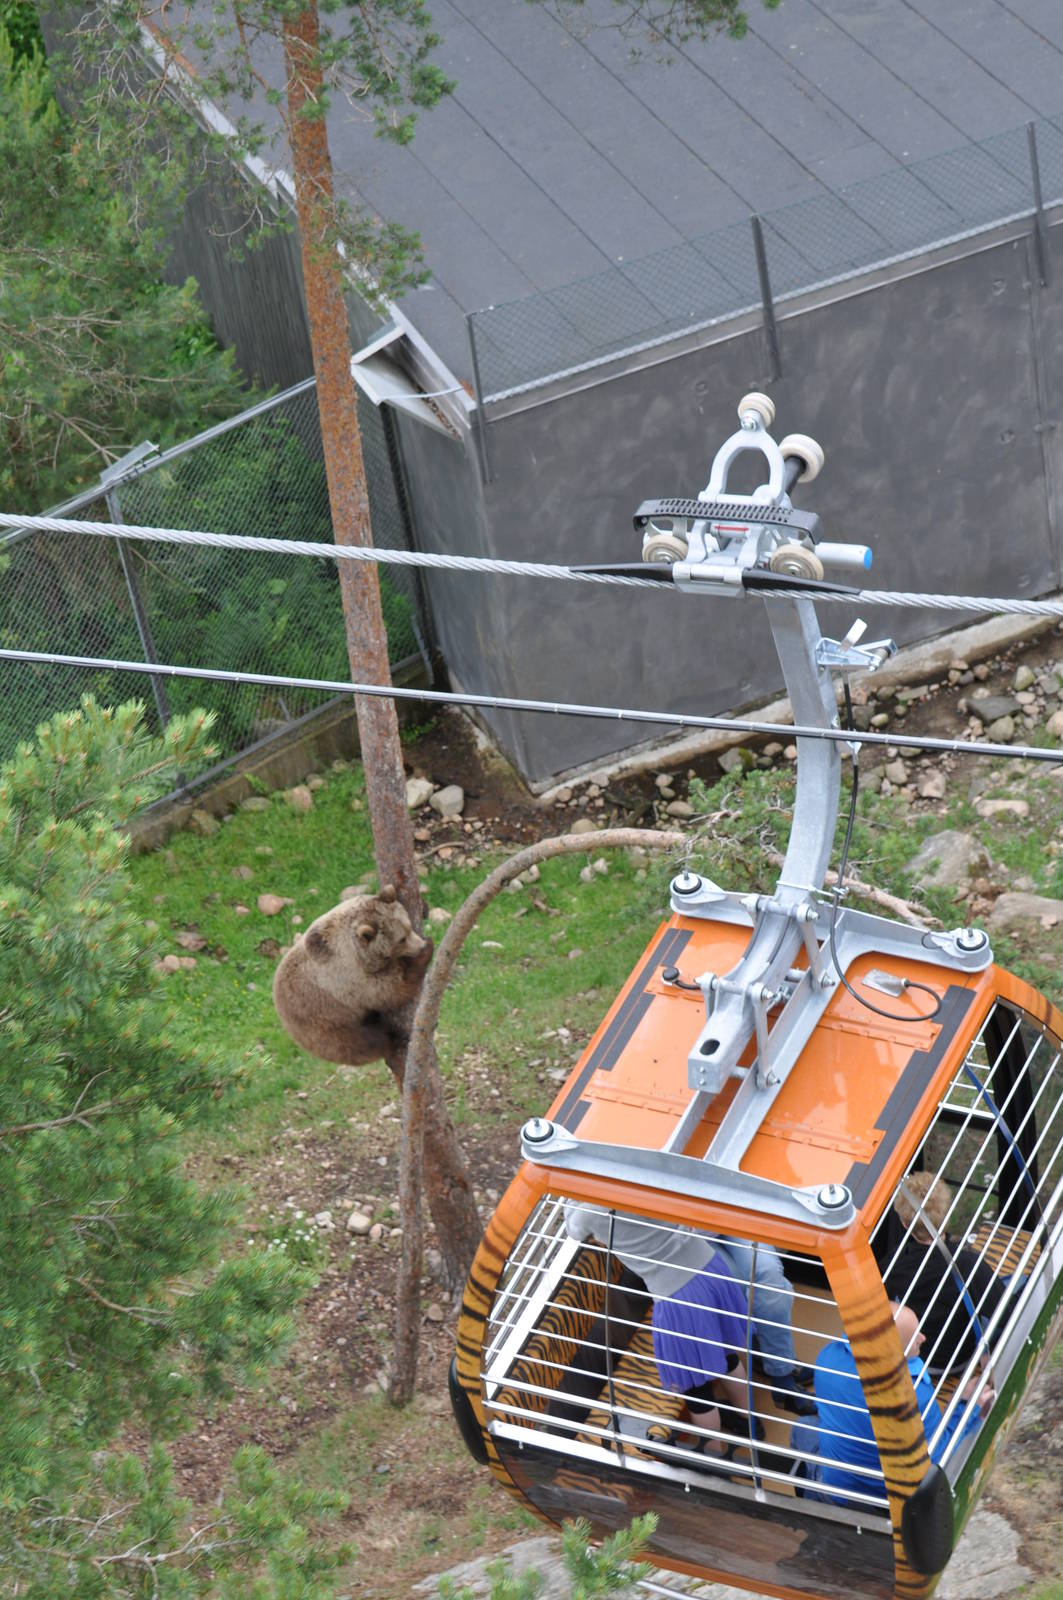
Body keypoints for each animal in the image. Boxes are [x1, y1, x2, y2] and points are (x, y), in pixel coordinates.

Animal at [272, 885, 433, 1066]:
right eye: (401, 939)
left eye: (409, 926)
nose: (420, 945)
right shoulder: (347, 977)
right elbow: (388, 989)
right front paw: (424, 953)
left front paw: (424, 906)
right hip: (325, 1022)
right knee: (361, 1043)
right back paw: (394, 1039)